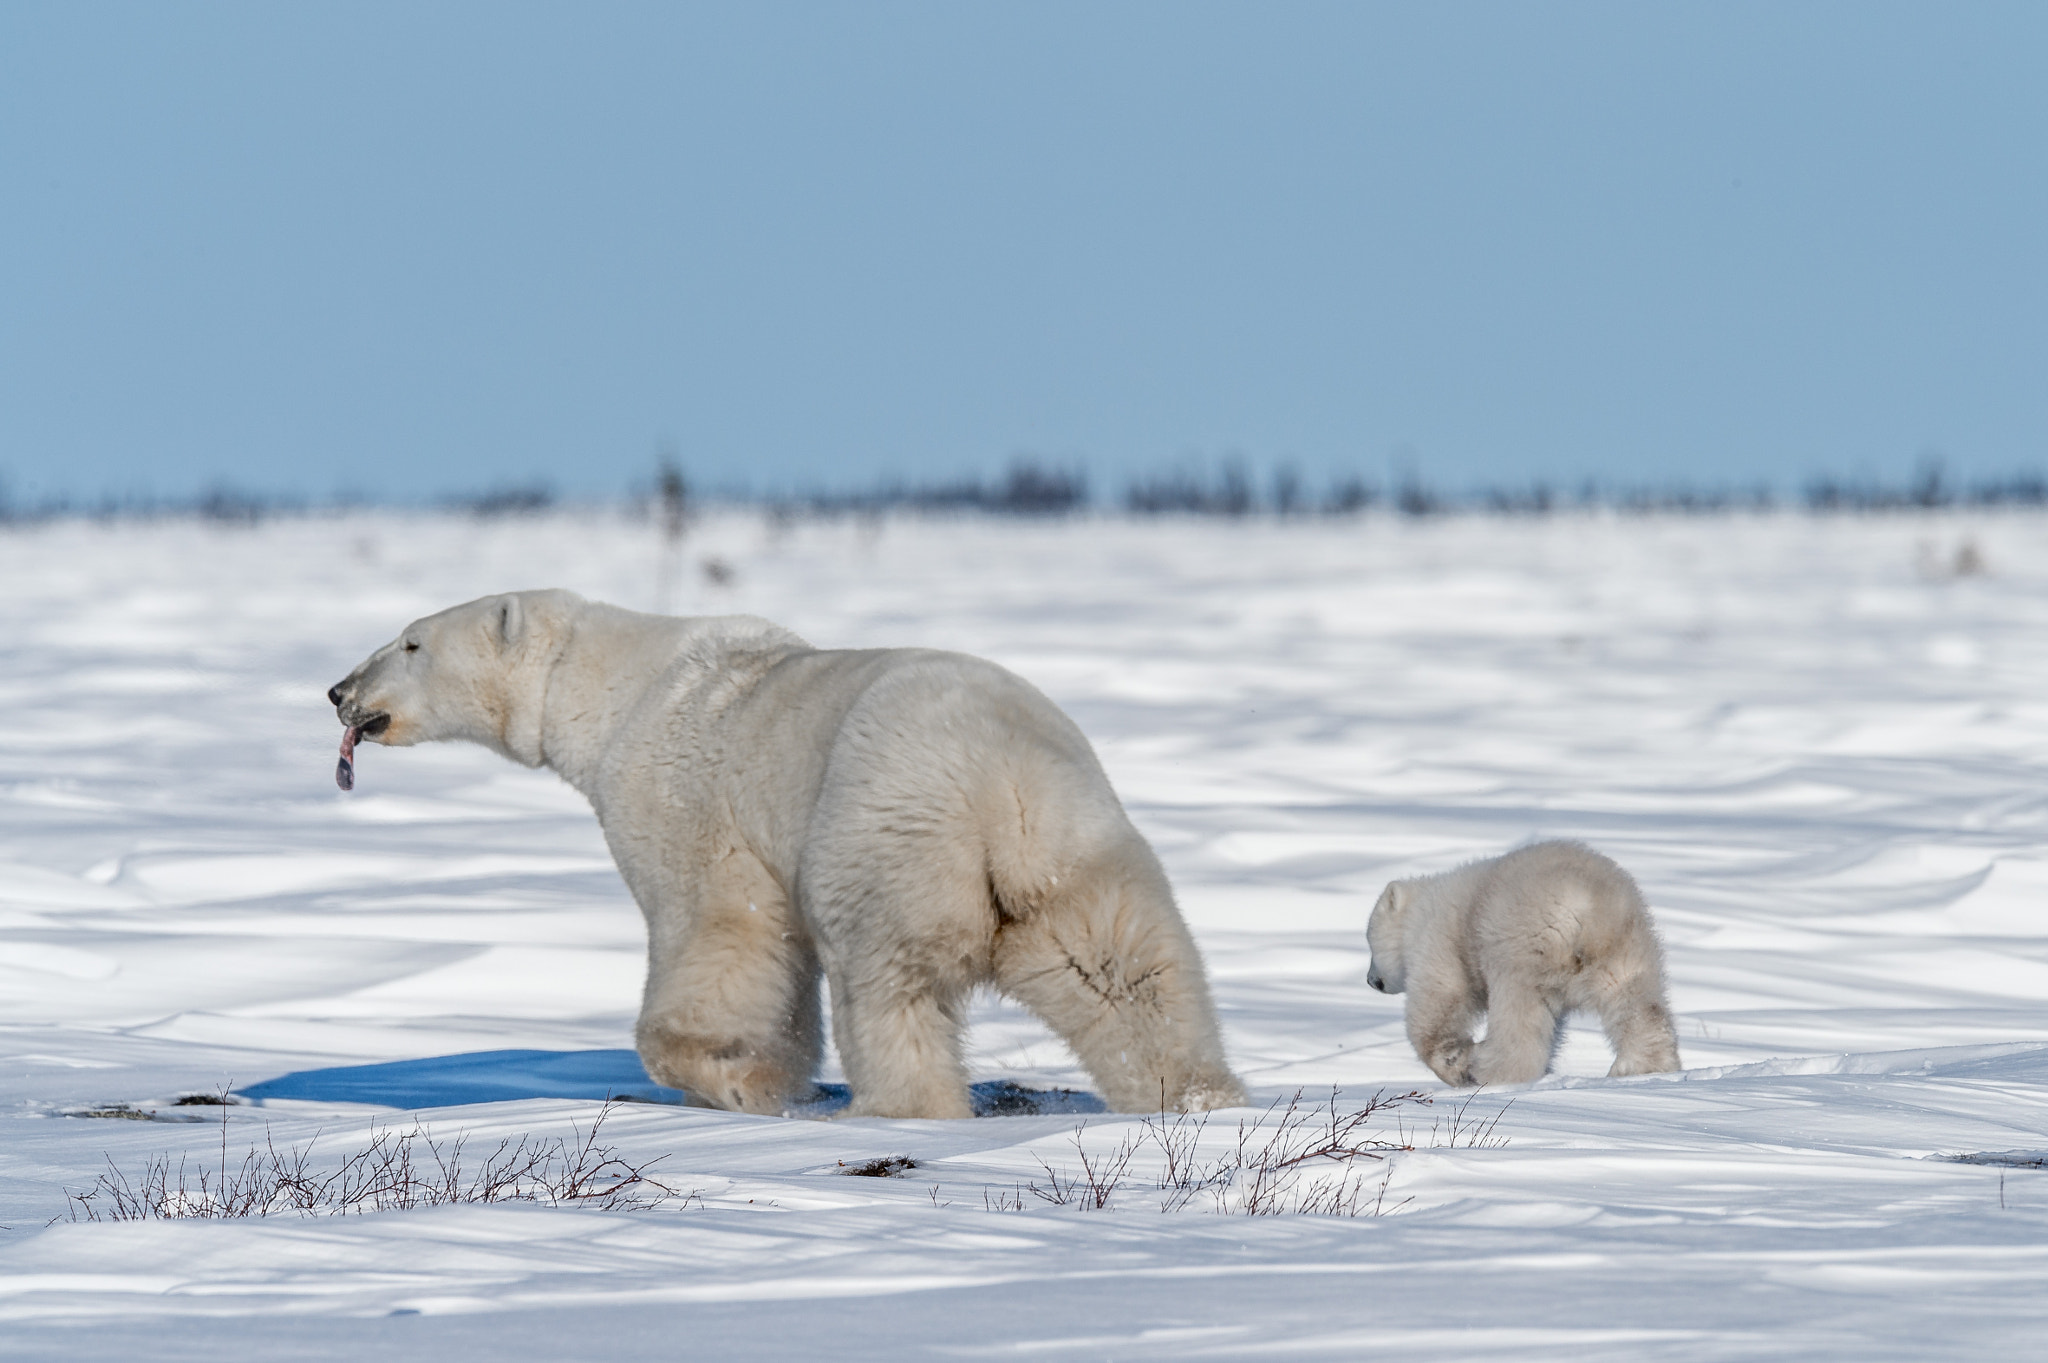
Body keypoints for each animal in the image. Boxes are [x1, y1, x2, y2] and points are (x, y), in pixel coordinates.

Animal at [327, 589, 1236, 1121]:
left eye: (410, 643)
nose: (339, 690)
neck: (617, 690)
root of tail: (1000, 779)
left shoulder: (687, 797)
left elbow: (720, 930)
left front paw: (738, 1079)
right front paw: (774, 1077)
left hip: (882, 834)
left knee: (886, 982)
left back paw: (898, 1107)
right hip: (1077, 848)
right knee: (1126, 970)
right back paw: (1194, 1091)